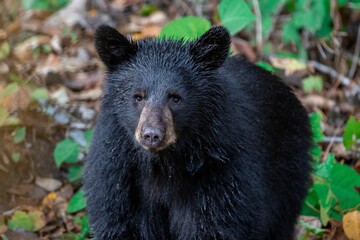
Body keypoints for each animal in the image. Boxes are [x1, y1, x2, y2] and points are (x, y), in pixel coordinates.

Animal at [83, 25, 312, 239]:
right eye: (138, 96)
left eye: (176, 98)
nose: (152, 135)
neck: (163, 164)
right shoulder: (119, 176)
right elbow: (119, 221)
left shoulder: (222, 172)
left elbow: (216, 224)